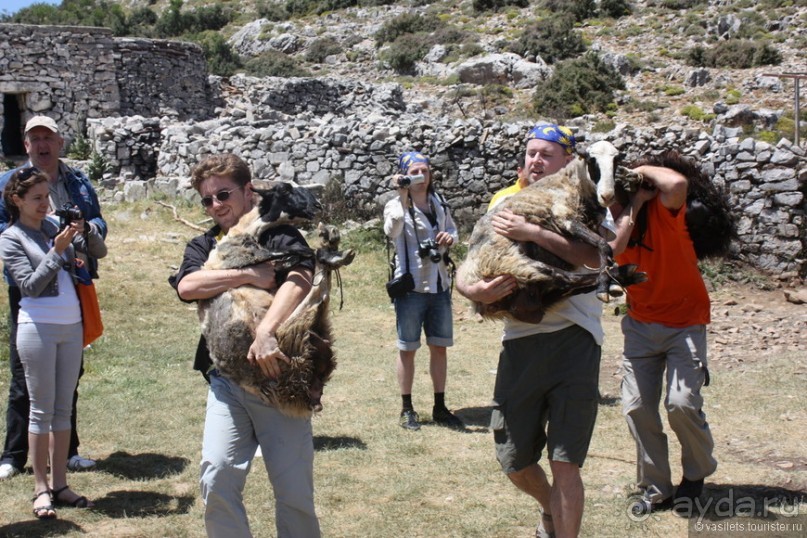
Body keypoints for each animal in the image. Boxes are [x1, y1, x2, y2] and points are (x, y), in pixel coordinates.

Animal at [199, 182, 354, 416]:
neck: (245, 231)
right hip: (288, 338)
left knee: (320, 290)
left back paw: (332, 248)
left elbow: (296, 254)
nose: (318, 206)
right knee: (318, 292)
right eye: (285, 189)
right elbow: (297, 251)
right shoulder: (244, 257)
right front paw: (319, 249)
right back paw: (331, 249)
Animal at [464, 139, 648, 322]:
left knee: (567, 286)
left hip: (533, 292)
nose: (607, 196)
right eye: (591, 160)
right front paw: (605, 284)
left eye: (616, 161)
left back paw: (625, 276)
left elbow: (602, 247)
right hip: (511, 263)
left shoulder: (593, 224)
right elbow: (604, 245)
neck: (572, 182)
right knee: (565, 277)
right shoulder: (564, 217)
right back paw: (621, 274)